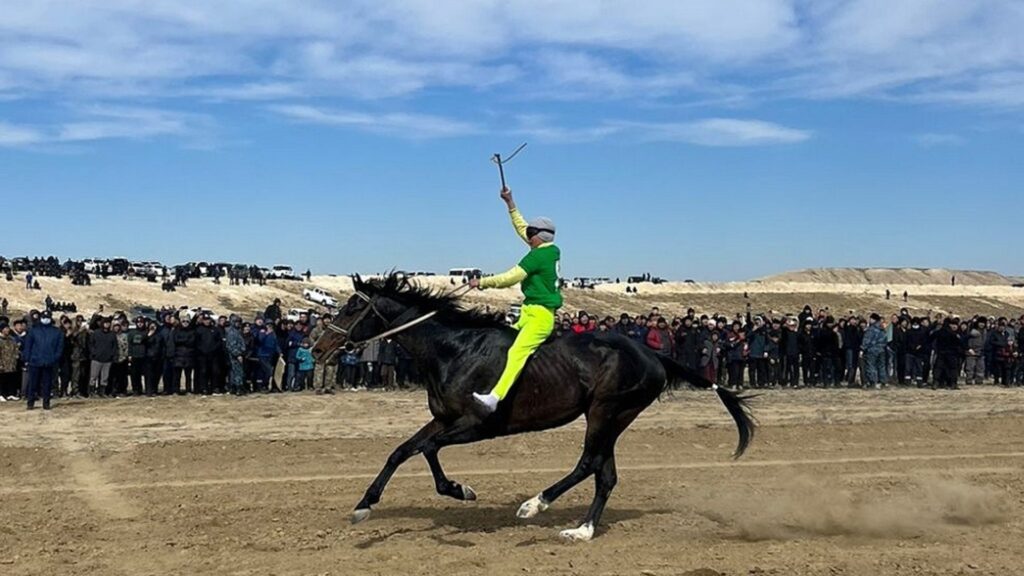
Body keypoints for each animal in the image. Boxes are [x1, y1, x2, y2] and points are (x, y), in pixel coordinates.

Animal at [311, 272, 753, 537]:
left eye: (353, 307)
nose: (317, 348)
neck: (453, 349)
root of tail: (654, 355)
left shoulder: (477, 423)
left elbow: (428, 450)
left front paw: (460, 490)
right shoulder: (444, 418)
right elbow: (402, 451)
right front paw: (364, 505)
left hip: (607, 411)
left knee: (589, 463)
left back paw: (534, 505)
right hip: (612, 416)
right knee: (605, 473)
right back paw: (583, 530)